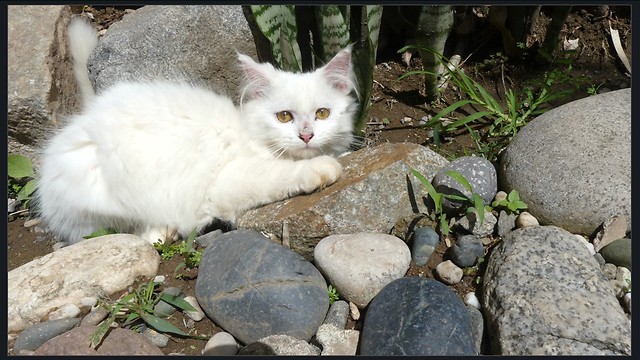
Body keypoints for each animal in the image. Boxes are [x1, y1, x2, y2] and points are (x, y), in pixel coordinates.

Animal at [35, 19, 358, 245]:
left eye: (322, 114)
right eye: (284, 116)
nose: (306, 136)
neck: (246, 129)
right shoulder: (229, 180)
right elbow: (279, 175)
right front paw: (322, 168)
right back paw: (163, 232)